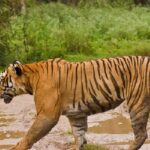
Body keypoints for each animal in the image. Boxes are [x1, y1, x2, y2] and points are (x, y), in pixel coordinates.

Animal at [0, 55, 149, 149]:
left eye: (2, 78)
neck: (31, 78)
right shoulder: (77, 115)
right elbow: (79, 137)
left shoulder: (47, 115)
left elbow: (30, 135)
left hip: (137, 103)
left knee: (141, 135)